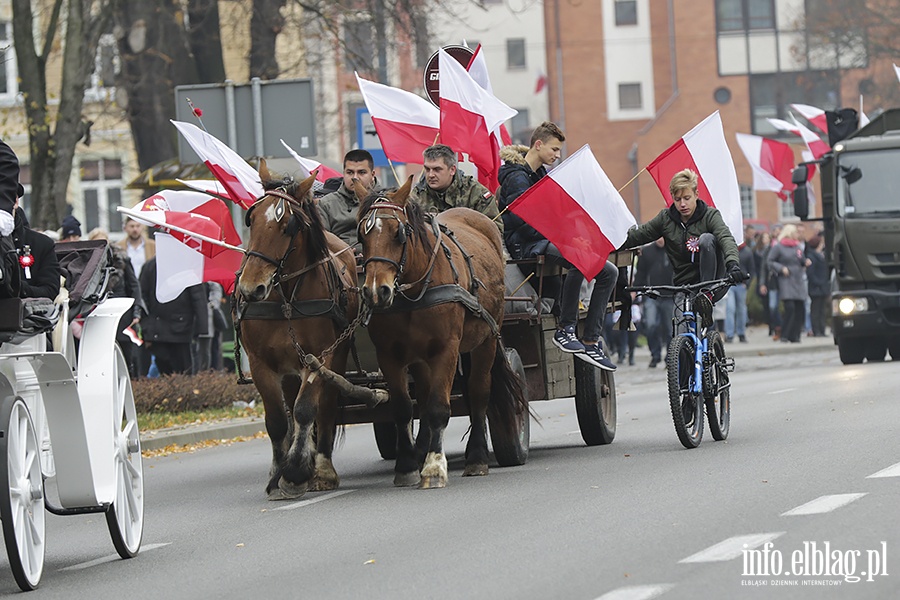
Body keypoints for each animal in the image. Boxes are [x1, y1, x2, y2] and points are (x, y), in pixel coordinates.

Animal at [237, 166, 360, 500]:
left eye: (288, 226)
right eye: (252, 218)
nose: (251, 288)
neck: (286, 300)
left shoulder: (319, 358)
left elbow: (306, 410)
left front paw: (296, 472)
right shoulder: (261, 364)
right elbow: (279, 420)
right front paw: (276, 476)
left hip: (337, 357)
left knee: (325, 404)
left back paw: (323, 467)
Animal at [358, 176, 528, 490]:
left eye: (399, 233)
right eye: (362, 235)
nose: (377, 291)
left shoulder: (446, 349)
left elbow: (439, 406)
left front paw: (435, 467)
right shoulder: (389, 355)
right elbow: (403, 407)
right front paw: (407, 465)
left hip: (486, 340)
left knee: (478, 393)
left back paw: (476, 457)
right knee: (424, 399)